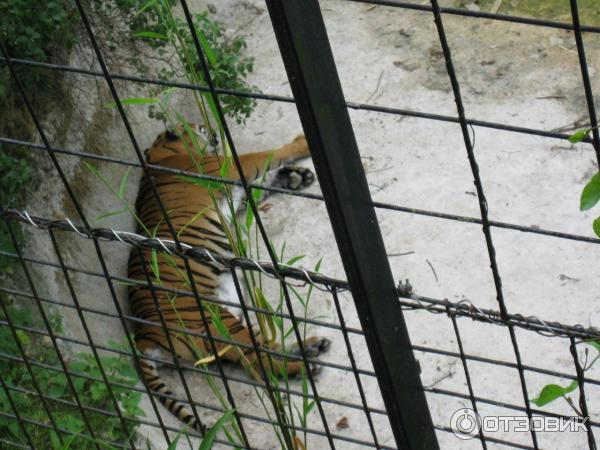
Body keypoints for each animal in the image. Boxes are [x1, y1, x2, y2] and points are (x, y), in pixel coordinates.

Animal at [127, 125, 332, 434]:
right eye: (199, 126)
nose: (213, 130)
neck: (164, 153)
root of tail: (142, 336)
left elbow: (259, 183)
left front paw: (293, 177)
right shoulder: (227, 168)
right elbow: (266, 155)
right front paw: (301, 147)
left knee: (267, 349)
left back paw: (310, 348)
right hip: (219, 323)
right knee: (262, 362)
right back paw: (304, 367)